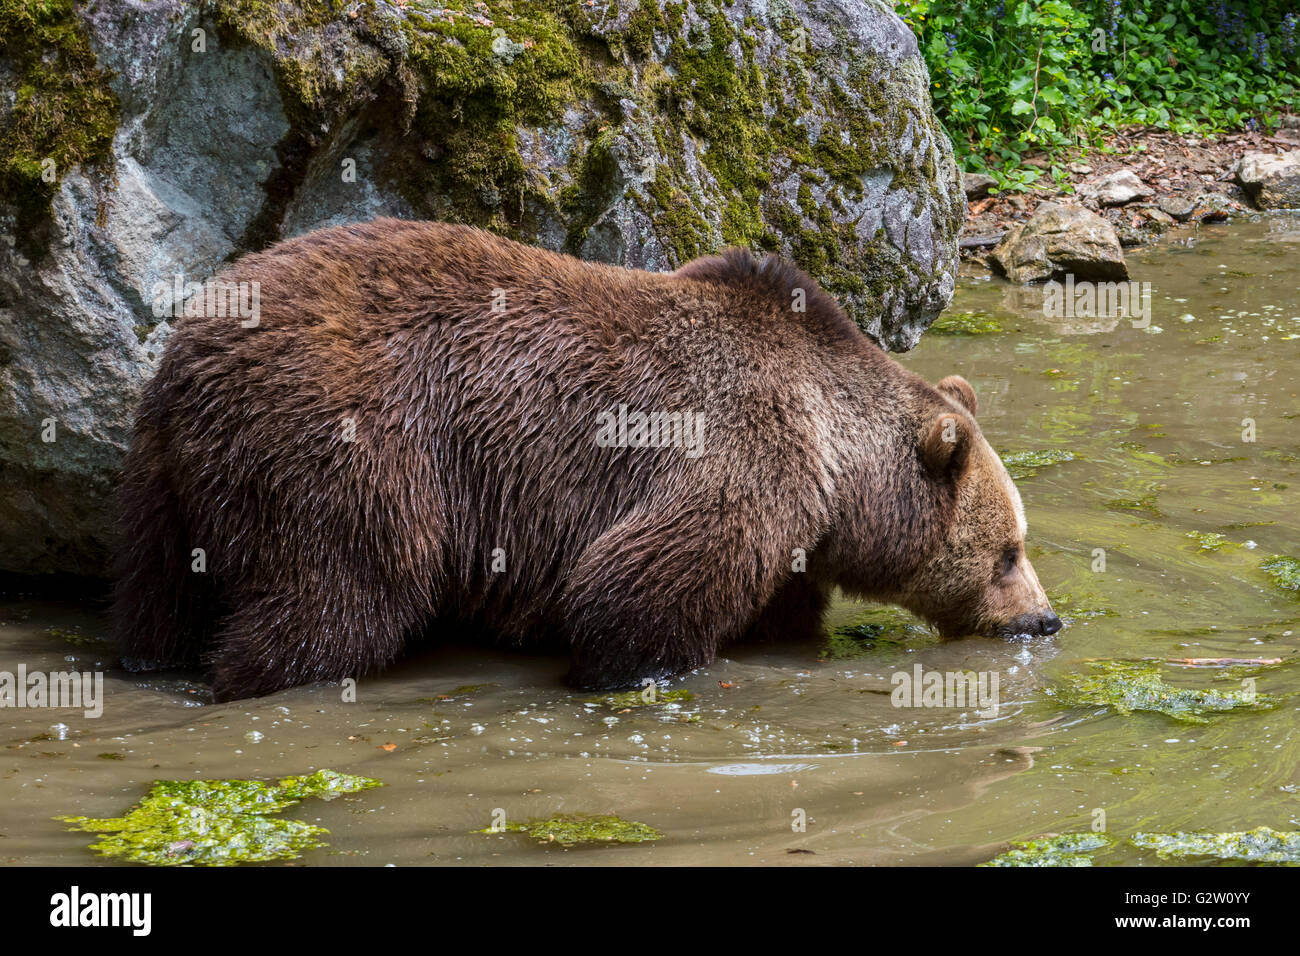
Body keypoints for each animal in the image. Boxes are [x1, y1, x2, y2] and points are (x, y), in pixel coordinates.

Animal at [116, 218, 1060, 702]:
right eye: (1008, 551)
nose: (1045, 619)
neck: (839, 468)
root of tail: (193, 337)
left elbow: (776, 605)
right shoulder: (741, 456)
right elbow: (638, 583)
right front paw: (627, 670)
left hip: (169, 481)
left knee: (162, 590)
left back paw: (156, 659)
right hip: (348, 439)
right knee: (342, 590)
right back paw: (244, 676)